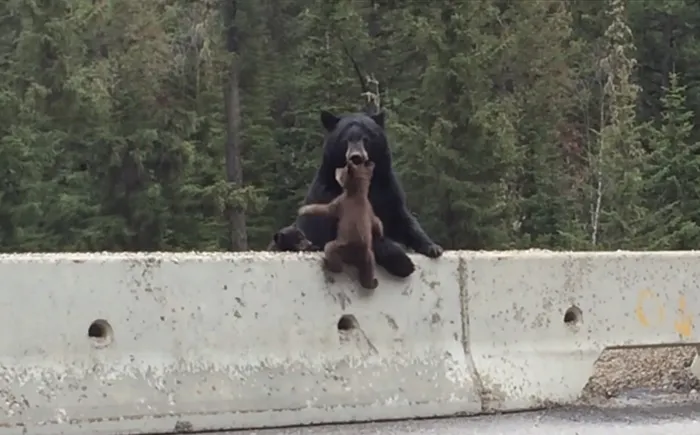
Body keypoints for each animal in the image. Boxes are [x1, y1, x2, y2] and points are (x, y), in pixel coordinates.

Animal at [298, 160, 383, 289]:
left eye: (344, 168)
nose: (337, 169)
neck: (358, 192)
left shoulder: (341, 202)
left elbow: (325, 209)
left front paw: (304, 209)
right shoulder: (369, 209)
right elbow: (376, 221)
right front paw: (380, 232)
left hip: (342, 248)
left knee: (332, 253)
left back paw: (327, 263)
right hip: (368, 257)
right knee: (368, 271)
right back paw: (371, 282)